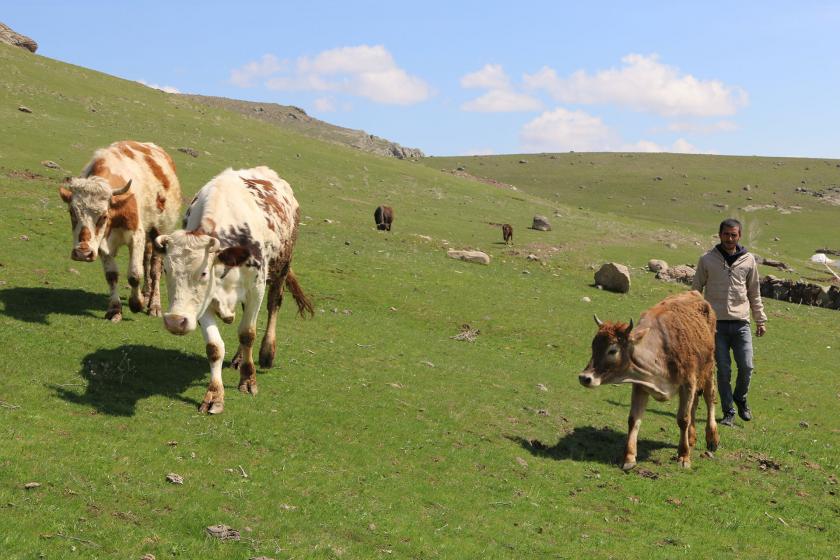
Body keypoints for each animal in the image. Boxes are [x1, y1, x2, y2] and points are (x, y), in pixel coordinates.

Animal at [59, 142, 184, 322]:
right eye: (72, 212)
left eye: (103, 216)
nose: (83, 253)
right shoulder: (101, 243)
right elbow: (111, 275)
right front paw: (115, 310)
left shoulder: (136, 236)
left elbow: (134, 274)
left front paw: (136, 303)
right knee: (147, 261)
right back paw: (146, 294)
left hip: (161, 231)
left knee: (155, 270)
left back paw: (154, 305)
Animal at [156, 164, 314, 414]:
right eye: (166, 270)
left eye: (203, 273)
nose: (174, 321)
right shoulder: (204, 303)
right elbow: (214, 347)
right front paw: (214, 395)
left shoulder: (256, 288)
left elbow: (247, 333)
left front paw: (248, 381)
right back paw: (239, 359)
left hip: (281, 269)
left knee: (274, 306)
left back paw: (266, 353)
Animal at [580, 290, 720, 470]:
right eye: (593, 346)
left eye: (612, 350)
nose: (585, 377)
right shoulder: (640, 385)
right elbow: (634, 419)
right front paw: (629, 458)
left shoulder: (688, 383)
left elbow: (683, 419)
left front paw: (684, 457)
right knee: (695, 403)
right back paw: (691, 437)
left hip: (708, 367)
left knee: (709, 398)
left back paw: (712, 438)